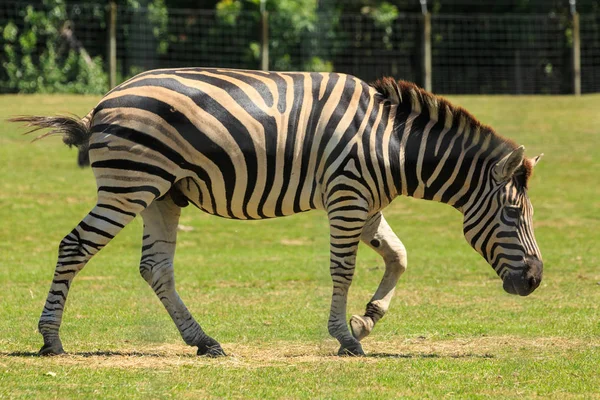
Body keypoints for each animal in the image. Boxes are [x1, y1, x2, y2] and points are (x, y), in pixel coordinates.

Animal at [10, 67, 544, 358]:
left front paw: (367, 319)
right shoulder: (347, 195)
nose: (536, 280)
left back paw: (203, 341)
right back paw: (51, 338)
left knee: (155, 268)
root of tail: (104, 102)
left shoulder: (367, 204)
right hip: (130, 186)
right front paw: (346, 336)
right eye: (512, 213)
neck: (390, 144)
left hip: (162, 193)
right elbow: (343, 268)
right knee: (75, 245)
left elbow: (399, 256)